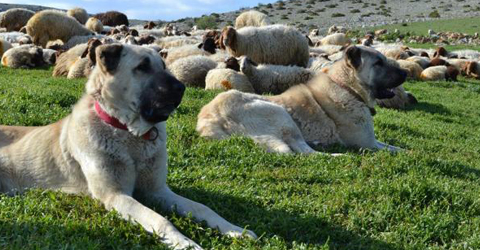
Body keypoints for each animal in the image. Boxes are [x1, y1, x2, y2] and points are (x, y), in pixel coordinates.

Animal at [0, 44, 255, 249]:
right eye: (142, 67)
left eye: (164, 65)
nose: (182, 87)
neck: (129, 134)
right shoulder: (115, 195)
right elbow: (161, 219)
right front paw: (186, 243)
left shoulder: (157, 190)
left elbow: (203, 208)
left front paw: (234, 230)